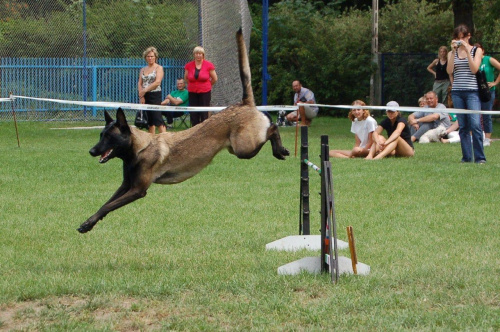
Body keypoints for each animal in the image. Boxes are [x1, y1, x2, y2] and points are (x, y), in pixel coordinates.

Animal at [77, 29, 290, 235]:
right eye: (101, 135)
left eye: (109, 137)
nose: (91, 151)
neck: (139, 149)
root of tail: (243, 103)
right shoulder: (126, 185)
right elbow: (106, 204)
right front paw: (89, 222)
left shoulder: (137, 189)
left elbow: (109, 205)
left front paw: (88, 224)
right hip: (238, 148)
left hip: (243, 148)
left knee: (272, 127)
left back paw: (280, 149)